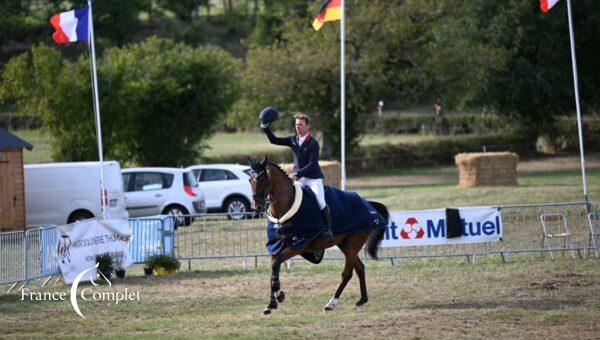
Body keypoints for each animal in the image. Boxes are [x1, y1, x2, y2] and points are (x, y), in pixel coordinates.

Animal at [247, 155, 392, 314]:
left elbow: (276, 264)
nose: (256, 207)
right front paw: (272, 303)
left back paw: (331, 303)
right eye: (249, 180)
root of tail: (368, 204)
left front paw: (279, 296)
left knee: (347, 273)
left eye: (262, 179)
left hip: (353, 244)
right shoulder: (275, 247)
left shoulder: (298, 245)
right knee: (360, 267)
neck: (284, 209)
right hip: (345, 244)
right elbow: (273, 270)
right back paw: (362, 299)